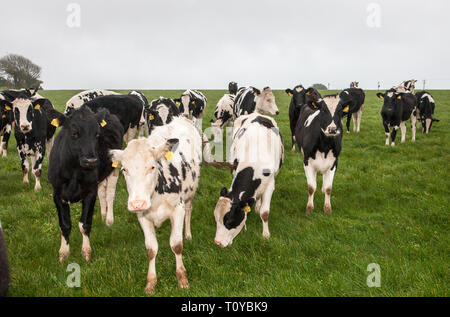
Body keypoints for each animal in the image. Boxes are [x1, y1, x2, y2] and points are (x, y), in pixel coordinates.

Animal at [47, 106, 123, 262]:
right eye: (74, 133)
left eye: (97, 134)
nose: (91, 161)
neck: (74, 172)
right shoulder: (57, 193)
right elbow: (65, 225)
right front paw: (64, 253)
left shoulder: (89, 192)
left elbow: (85, 224)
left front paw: (86, 252)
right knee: (102, 192)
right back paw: (103, 215)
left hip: (115, 168)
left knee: (110, 193)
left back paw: (109, 219)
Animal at [110, 116, 201, 294]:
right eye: (124, 169)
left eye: (152, 166)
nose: (137, 203)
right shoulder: (142, 217)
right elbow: (151, 249)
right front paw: (151, 283)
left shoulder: (178, 210)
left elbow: (176, 245)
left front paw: (182, 278)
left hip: (191, 192)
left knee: (189, 210)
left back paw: (188, 234)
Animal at [213, 111, 284, 247]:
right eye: (216, 219)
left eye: (230, 222)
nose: (217, 243)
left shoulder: (270, 185)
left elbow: (265, 213)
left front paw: (266, 234)